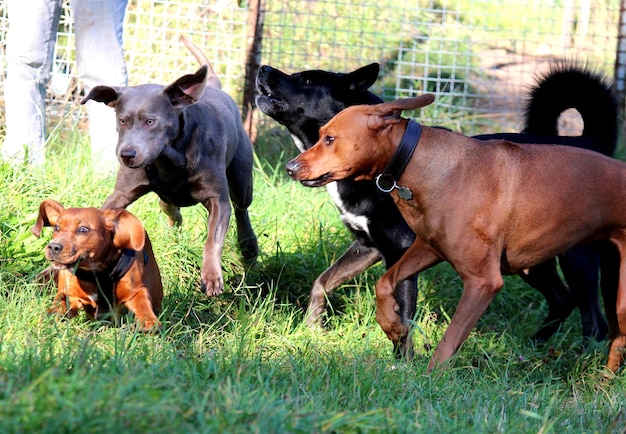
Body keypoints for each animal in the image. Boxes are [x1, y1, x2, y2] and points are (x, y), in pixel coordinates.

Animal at [31, 199, 162, 328]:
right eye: (57, 228)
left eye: (83, 230)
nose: (54, 247)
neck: (96, 273)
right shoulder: (70, 294)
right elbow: (60, 304)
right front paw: (50, 316)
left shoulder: (135, 291)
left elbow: (141, 303)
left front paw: (149, 320)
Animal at [80, 37, 256, 294]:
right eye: (122, 121)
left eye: (150, 121)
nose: (127, 154)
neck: (169, 159)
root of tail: (214, 86)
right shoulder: (121, 194)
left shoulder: (218, 200)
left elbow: (213, 238)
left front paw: (212, 276)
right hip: (166, 198)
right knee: (170, 208)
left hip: (242, 178)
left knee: (242, 207)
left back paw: (249, 246)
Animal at [255, 60, 616, 352]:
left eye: (305, 79)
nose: (262, 68)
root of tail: (590, 142)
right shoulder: (367, 246)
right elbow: (323, 282)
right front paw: (312, 328)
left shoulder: (399, 250)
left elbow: (401, 311)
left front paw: (401, 362)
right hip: (527, 259)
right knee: (562, 300)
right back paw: (532, 349)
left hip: (576, 258)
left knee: (594, 321)